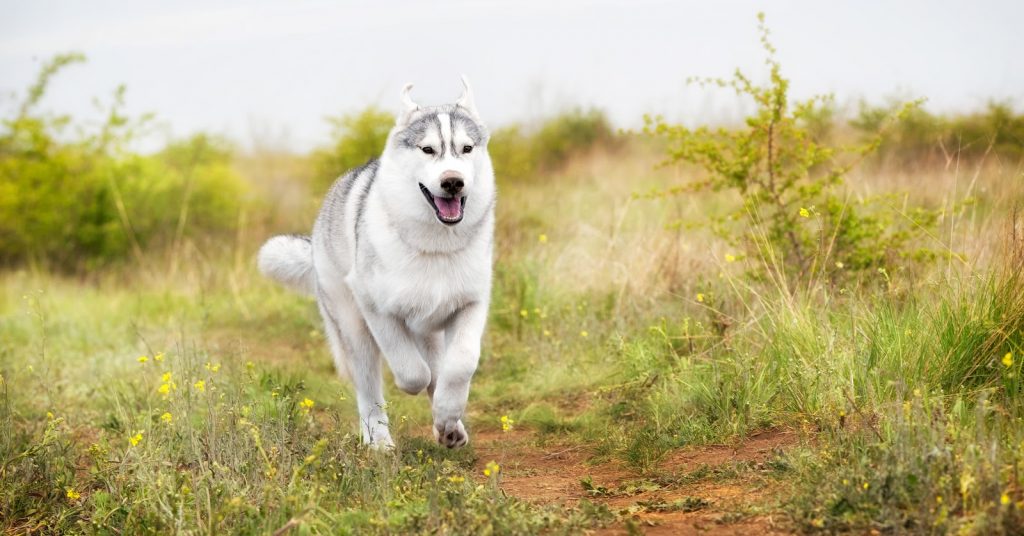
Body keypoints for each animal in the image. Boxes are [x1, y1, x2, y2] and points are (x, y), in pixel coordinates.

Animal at [258, 78, 493, 448]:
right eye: (427, 150)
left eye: (466, 148)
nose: (453, 181)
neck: (435, 246)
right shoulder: (376, 308)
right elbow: (413, 372)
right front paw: (424, 401)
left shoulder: (471, 302)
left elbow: (460, 365)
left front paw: (447, 414)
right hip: (354, 326)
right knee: (370, 388)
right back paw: (378, 440)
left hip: (427, 328)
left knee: (436, 363)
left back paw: (449, 427)